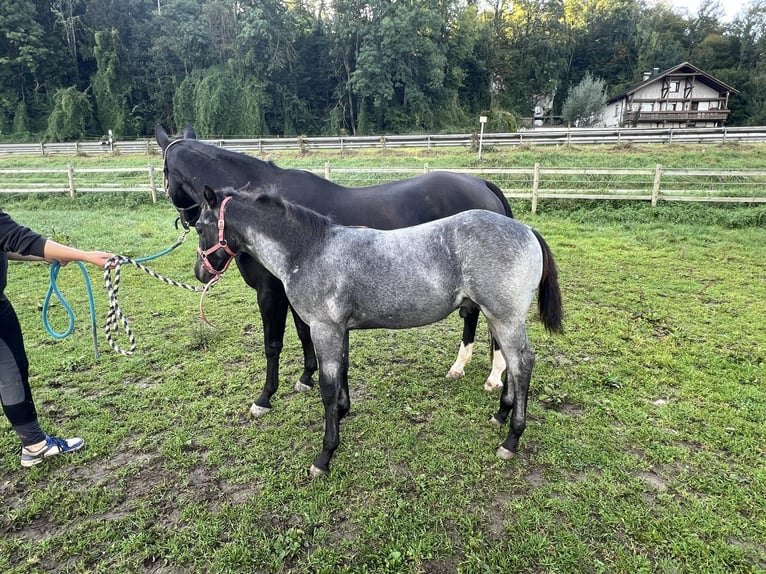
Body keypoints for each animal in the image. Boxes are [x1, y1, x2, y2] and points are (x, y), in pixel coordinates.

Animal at [155, 124, 516, 416]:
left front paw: (264, 398)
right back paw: (461, 367)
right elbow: (304, 334)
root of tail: (481, 183)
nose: (201, 269)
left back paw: (494, 376)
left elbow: (273, 344)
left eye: (165, 173)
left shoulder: (270, 292)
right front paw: (305, 378)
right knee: (473, 317)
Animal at [195, 186, 564, 476]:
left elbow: (326, 388)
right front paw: (343, 412)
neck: (309, 250)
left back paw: (511, 439)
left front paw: (325, 455)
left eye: (199, 226)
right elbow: (342, 372)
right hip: (497, 317)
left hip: (505, 317)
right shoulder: (338, 329)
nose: (201, 272)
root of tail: (526, 229)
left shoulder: (324, 329)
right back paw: (500, 414)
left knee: (521, 363)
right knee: (512, 364)